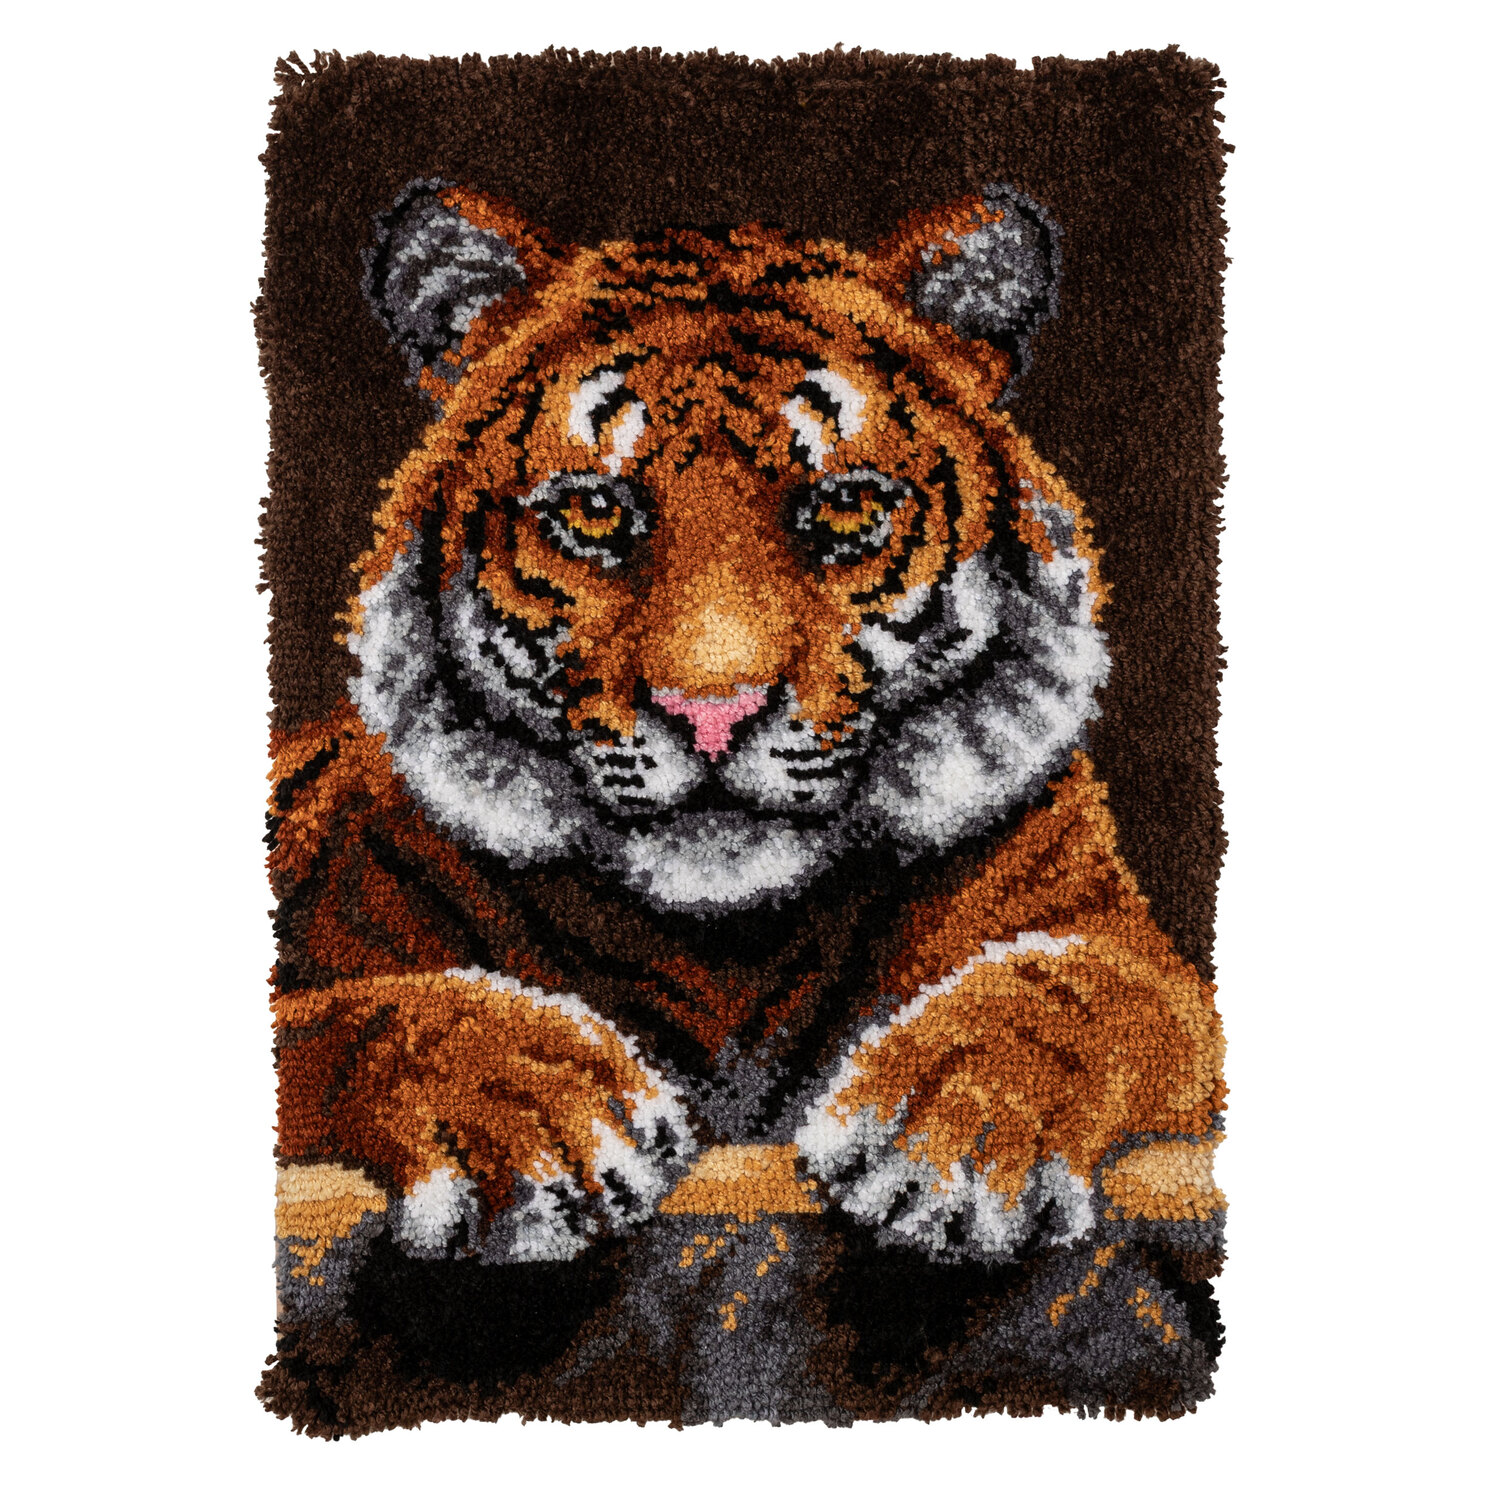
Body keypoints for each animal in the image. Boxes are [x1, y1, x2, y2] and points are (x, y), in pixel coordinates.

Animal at [263, 178, 1226, 1427]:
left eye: (845, 509)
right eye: (597, 513)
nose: (712, 709)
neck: (729, 947)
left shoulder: (1135, 957)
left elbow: (1078, 993)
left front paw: (940, 1142)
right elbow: (350, 1020)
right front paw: (549, 1116)